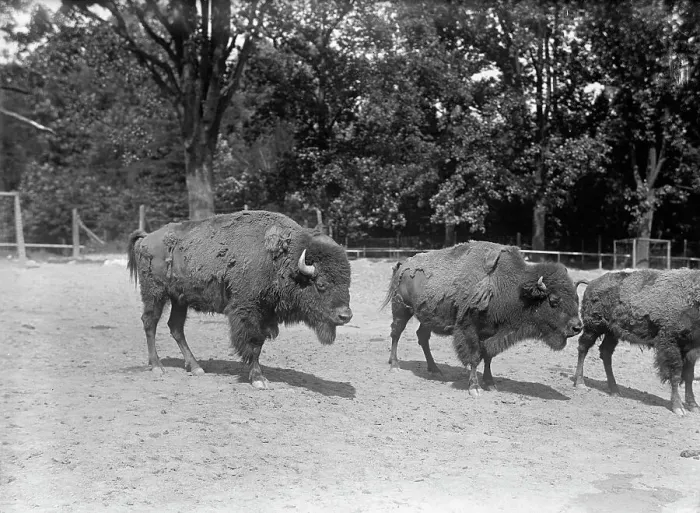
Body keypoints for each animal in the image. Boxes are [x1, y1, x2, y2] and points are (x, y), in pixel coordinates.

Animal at [126, 210, 353, 389]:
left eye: (347, 282)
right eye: (321, 284)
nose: (345, 316)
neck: (281, 262)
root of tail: (146, 238)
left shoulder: (265, 315)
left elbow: (259, 344)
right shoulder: (247, 311)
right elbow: (252, 343)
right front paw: (258, 379)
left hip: (179, 299)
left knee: (175, 327)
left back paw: (196, 367)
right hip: (155, 294)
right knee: (150, 323)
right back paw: (157, 367)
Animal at [382, 241, 584, 395]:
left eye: (577, 299)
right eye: (554, 300)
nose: (577, 327)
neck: (512, 288)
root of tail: (403, 265)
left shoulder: (492, 333)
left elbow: (488, 356)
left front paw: (490, 383)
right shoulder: (469, 330)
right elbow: (474, 357)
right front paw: (474, 388)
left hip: (427, 317)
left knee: (422, 337)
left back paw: (435, 369)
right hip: (401, 309)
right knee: (396, 333)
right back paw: (395, 365)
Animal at [573, 269, 700, 416]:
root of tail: (591, 283)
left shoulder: (692, 349)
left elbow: (689, 376)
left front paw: (694, 406)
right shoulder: (671, 343)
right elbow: (676, 374)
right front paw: (678, 408)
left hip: (612, 332)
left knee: (605, 353)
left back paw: (615, 391)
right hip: (593, 327)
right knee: (583, 347)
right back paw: (580, 383)